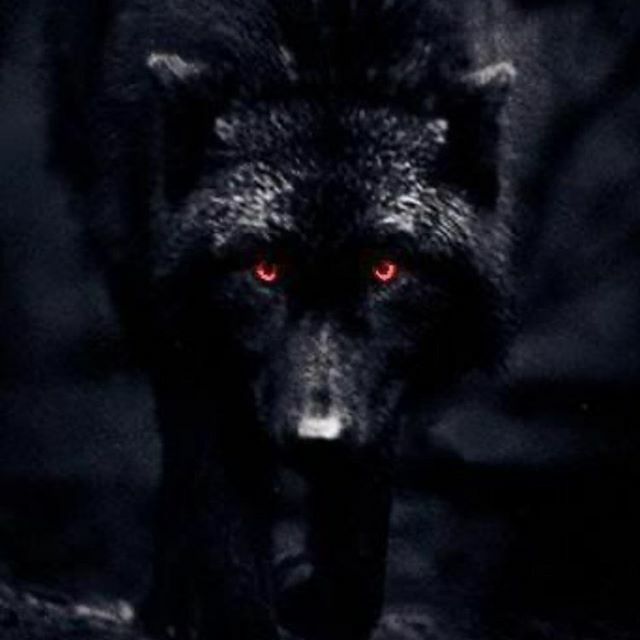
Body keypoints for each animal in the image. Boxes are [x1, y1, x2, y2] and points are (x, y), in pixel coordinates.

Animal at [47, 1, 514, 638]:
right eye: (266, 269)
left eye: (386, 269)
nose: (318, 437)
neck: (326, 47)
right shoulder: (200, 355)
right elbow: (225, 528)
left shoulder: (377, 392)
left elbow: (359, 559)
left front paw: (310, 592)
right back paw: (168, 606)